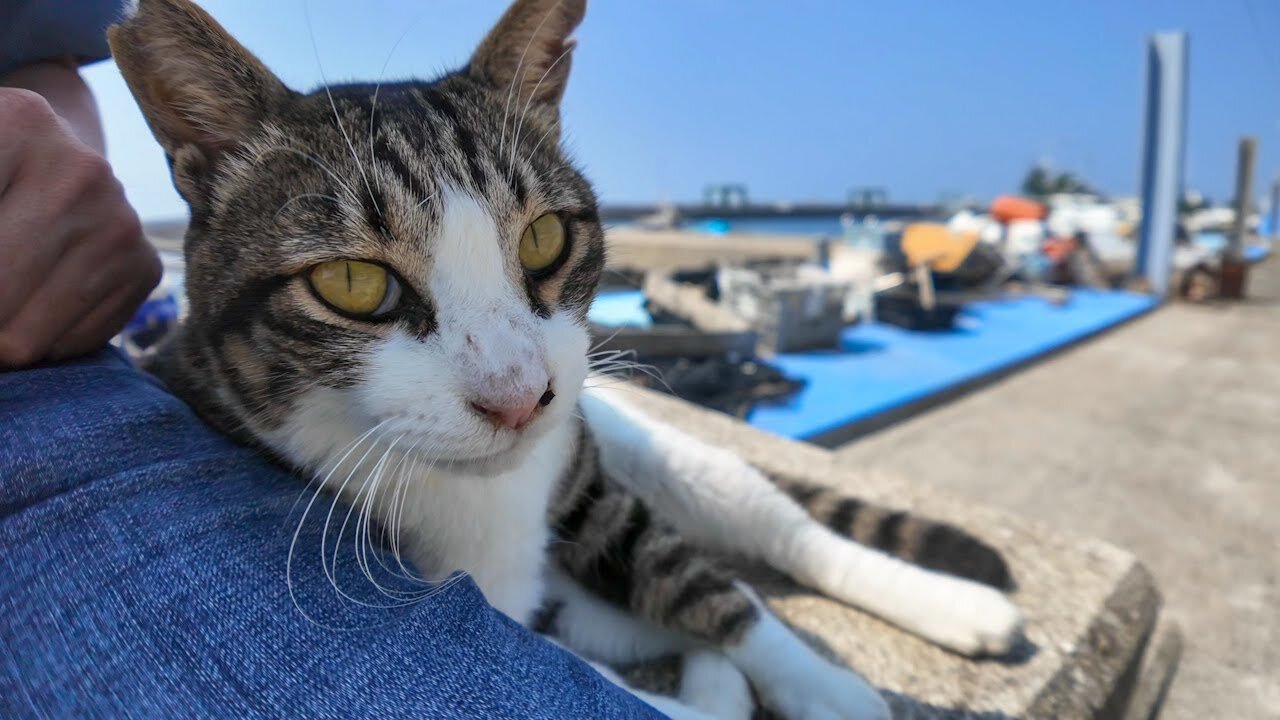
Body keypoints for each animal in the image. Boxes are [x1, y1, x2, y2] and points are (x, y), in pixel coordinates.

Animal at [112, 2, 1018, 712]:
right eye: (350, 281)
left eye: (545, 237)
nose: (519, 396)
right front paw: (718, 682)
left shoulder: (590, 483)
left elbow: (708, 588)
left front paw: (824, 687)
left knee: (776, 525)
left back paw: (958, 605)